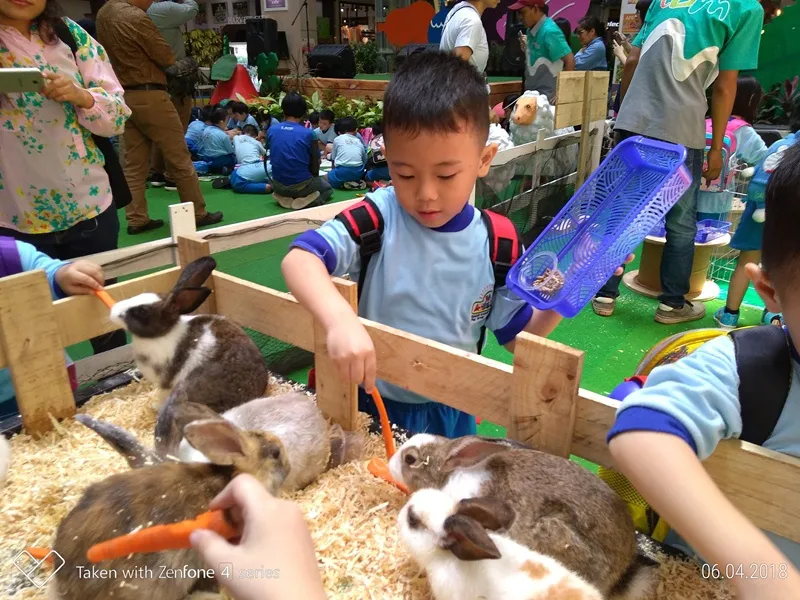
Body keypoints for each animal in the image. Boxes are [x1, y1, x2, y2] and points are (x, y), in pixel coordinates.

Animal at [109, 256, 272, 418]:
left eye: (141, 311)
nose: (113, 311)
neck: (163, 334)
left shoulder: (166, 383)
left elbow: (163, 395)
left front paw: (156, 406)